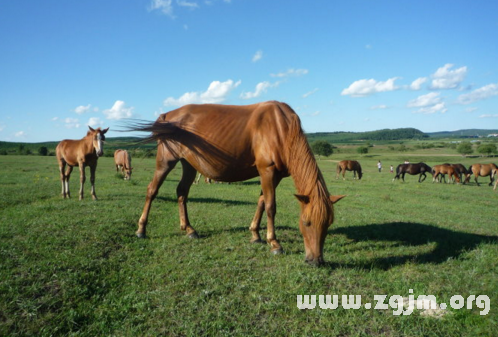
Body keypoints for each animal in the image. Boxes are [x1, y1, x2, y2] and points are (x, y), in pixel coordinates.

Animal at [129, 101, 346, 264]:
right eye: (306, 222)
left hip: (189, 163)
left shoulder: (274, 176)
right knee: (152, 190)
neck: (280, 128)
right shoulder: (267, 171)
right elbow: (270, 206)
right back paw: (141, 230)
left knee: (182, 192)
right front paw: (274, 243)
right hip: (166, 160)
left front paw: (256, 235)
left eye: (328, 223)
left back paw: (189, 229)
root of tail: (167, 115)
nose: (315, 260)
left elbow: (261, 202)